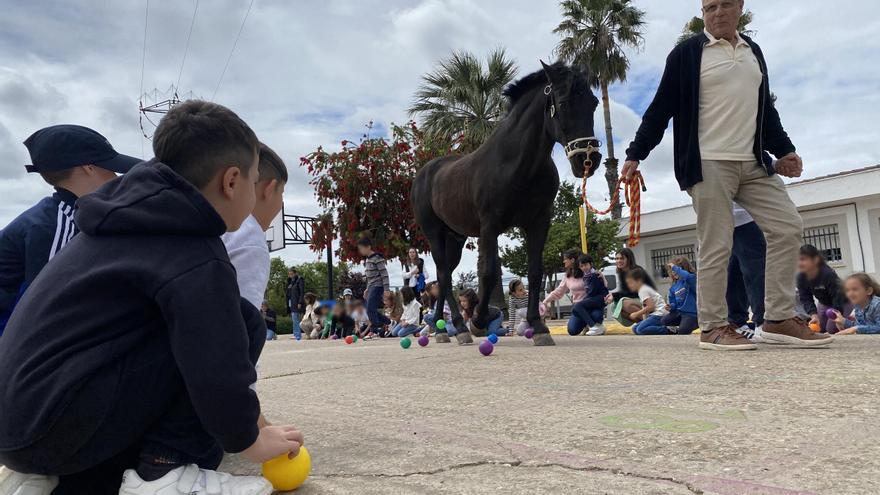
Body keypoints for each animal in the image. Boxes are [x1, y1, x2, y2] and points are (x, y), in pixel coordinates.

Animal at [410, 62, 600, 346]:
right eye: (564, 103)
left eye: (594, 103)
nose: (589, 159)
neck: (517, 164)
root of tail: (425, 173)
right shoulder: (490, 226)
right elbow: (488, 274)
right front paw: (478, 322)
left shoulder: (538, 222)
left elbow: (535, 272)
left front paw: (539, 327)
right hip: (434, 234)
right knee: (443, 274)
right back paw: (460, 328)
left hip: (455, 239)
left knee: (445, 277)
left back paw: (443, 329)